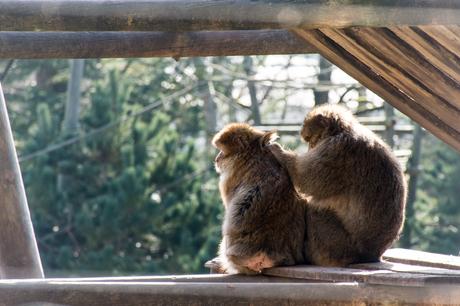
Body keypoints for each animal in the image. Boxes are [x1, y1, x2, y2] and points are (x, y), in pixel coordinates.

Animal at [270, 104, 406, 266]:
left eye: (310, 140)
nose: (310, 149)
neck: (341, 131)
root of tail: (371, 255)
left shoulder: (336, 151)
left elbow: (306, 179)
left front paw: (278, 151)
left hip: (340, 245)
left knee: (316, 211)